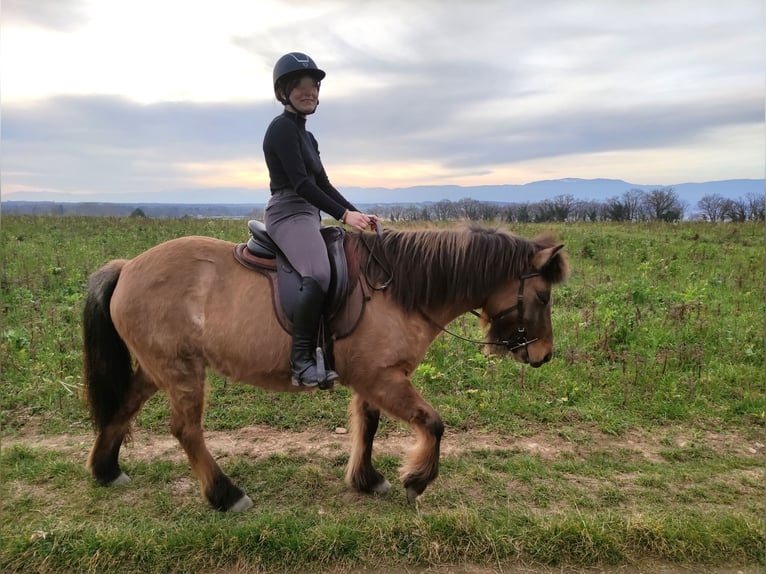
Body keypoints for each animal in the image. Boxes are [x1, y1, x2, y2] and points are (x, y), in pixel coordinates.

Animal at [83, 223, 569, 511]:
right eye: (544, 297)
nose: (543, 354)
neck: (397, 289)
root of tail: (128, 267)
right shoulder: (382, 378)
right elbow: (433, 423)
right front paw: (416, 479)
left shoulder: (373, 379)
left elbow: (368, 426)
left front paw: (367, 479)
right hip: (182, 371)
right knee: (185, 430)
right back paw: (225, 494)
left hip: (157, 368)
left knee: (123, 407)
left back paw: (106, 470)